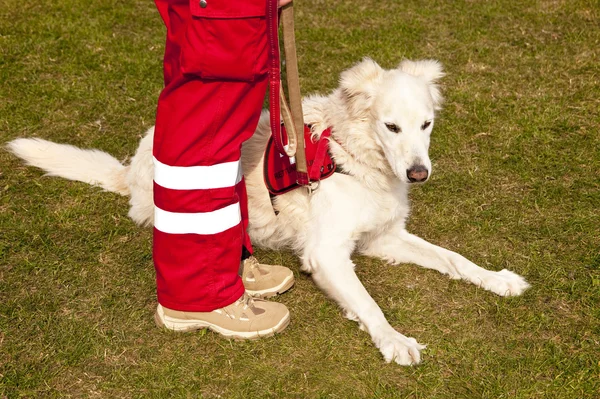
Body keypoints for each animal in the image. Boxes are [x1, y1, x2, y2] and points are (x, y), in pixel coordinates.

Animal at [7, 58, 528, 366]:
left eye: (426, 124)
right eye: (391, 126)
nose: (419, 174)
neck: (350, 156)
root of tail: (130, 168)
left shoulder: (383, 236)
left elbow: (453, 259)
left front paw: (497, 279)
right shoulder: (328, 253)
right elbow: (369, 303)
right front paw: (394, 339)